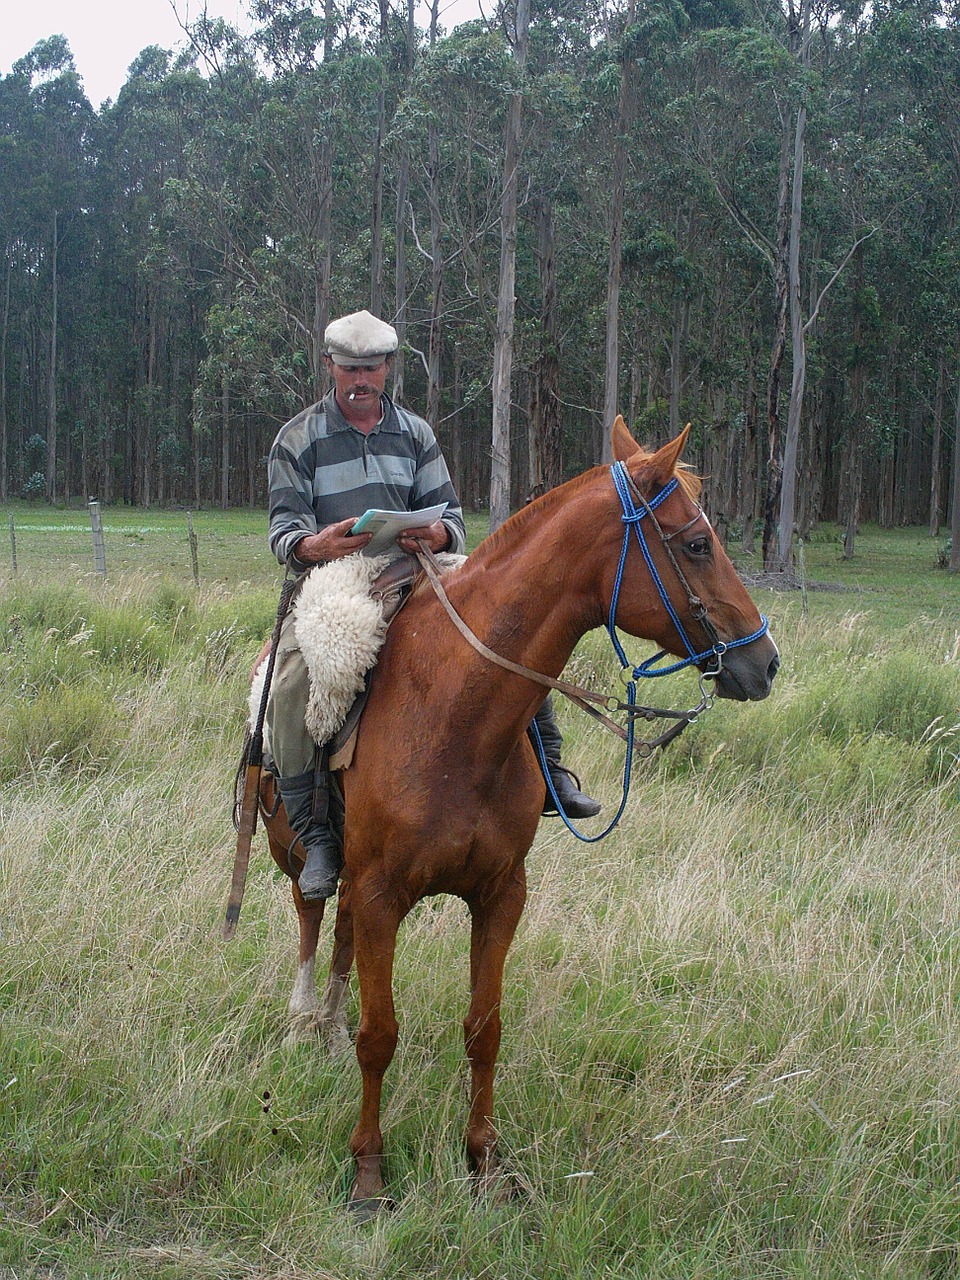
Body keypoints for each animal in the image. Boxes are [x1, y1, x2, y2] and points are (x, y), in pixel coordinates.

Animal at [257, 419, 783, 1208]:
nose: (766, 661)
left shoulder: (501, 893)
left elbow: (485, 1029)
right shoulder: (382, 894)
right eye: (696, 543)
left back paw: (327, 1024)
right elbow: (381, 1037)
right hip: (301, 858)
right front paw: (369, 1172)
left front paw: (485, 1162)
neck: (454, 712)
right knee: (313, 921)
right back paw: (302, 1023)